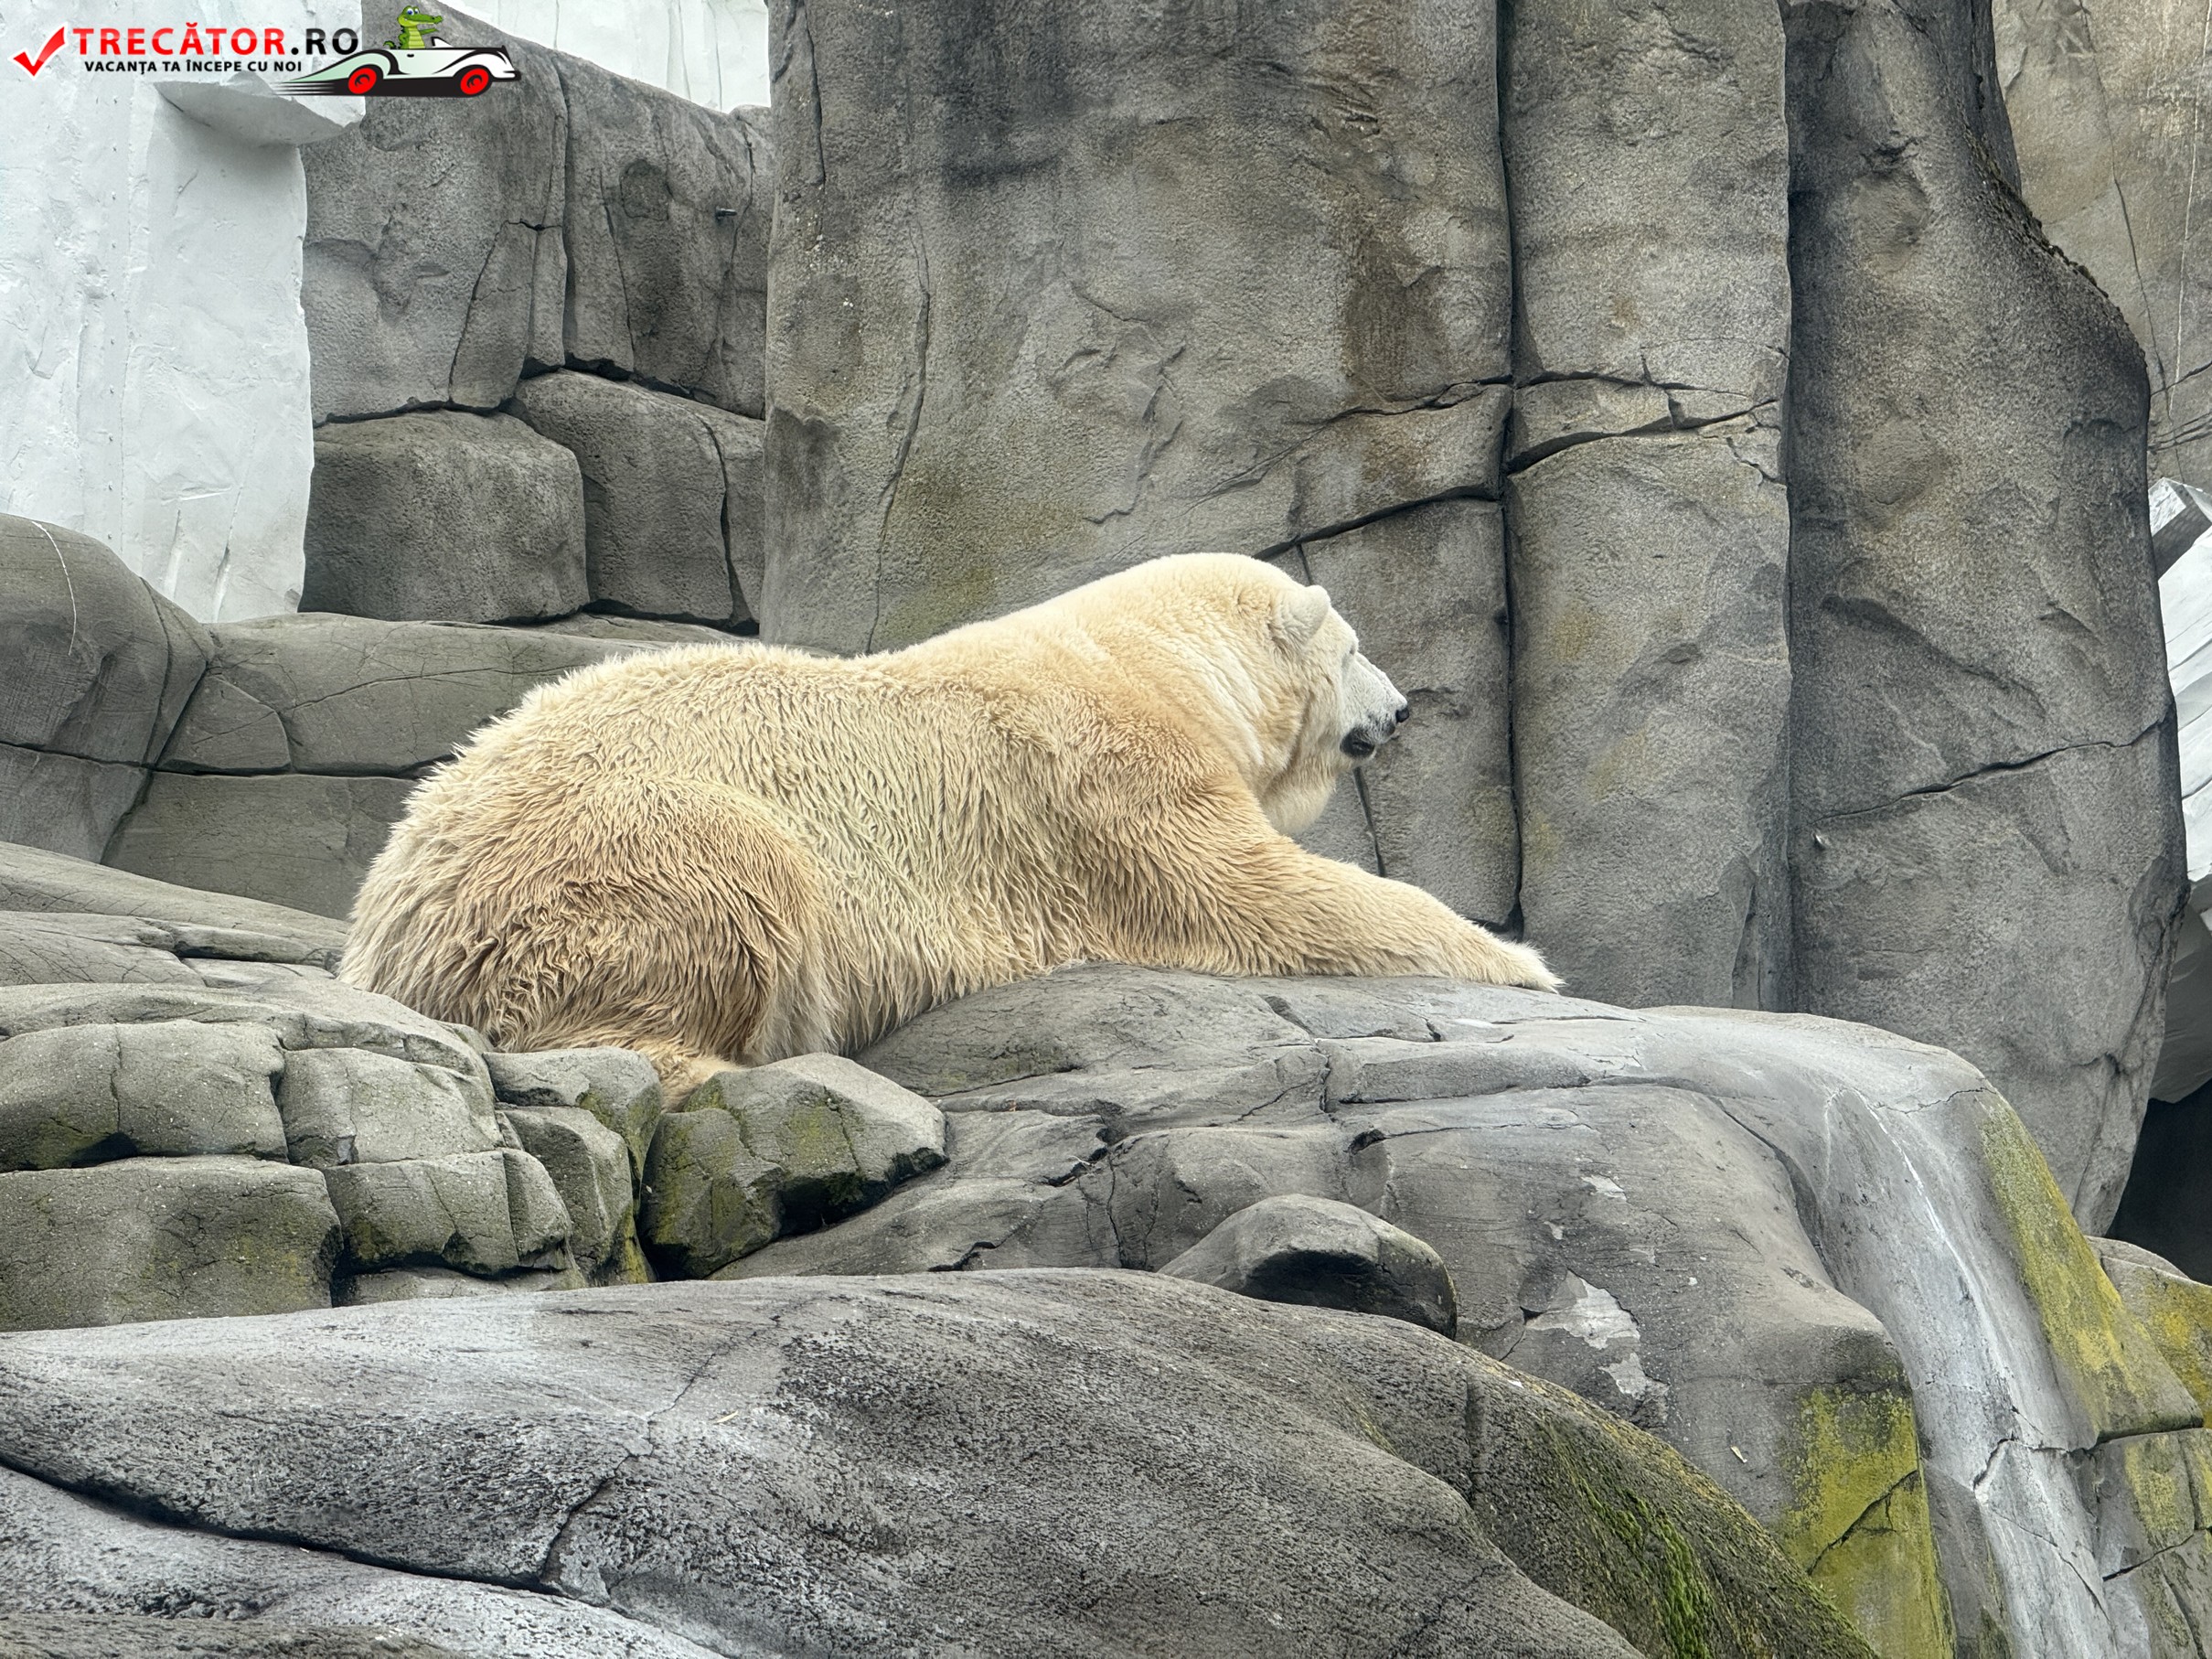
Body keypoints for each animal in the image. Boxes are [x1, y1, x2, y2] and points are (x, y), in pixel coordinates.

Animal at [342, 553, 1558, 1094]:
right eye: (1355, 646)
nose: (1400, 709)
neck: (1152, 660)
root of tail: (387, 932)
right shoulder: (1109, 779)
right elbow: (1257, 894)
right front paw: (1522, 958)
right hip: (611, 850)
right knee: (730, 882)